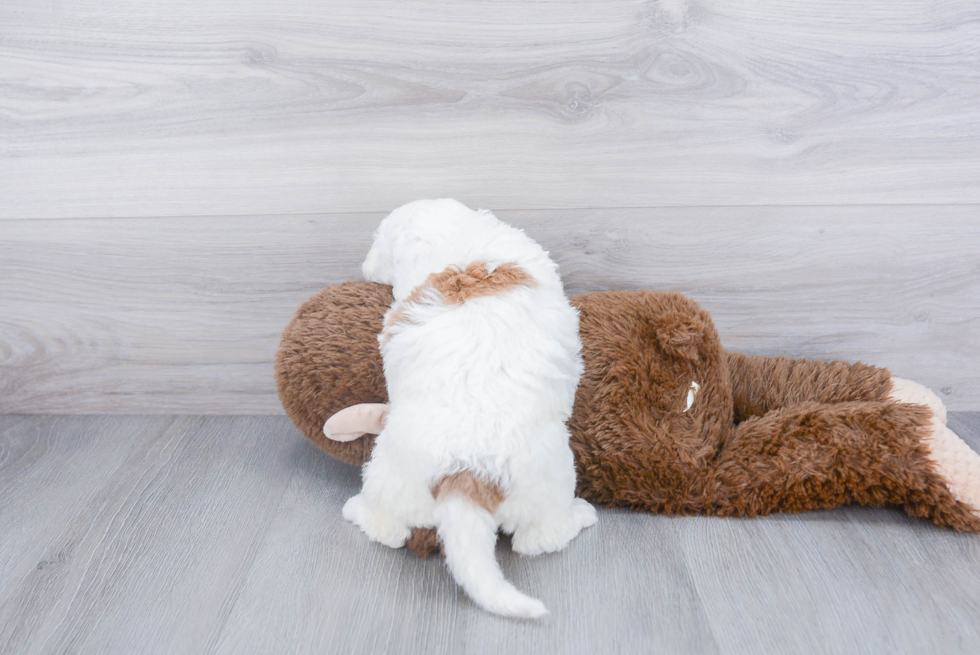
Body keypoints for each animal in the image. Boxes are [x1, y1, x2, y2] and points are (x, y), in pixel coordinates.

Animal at [344, 197, 596, 616]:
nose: (365, 269)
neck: (456, 232)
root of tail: (467, 474)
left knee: (390, 530)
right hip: (547, 483)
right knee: (537, 539)